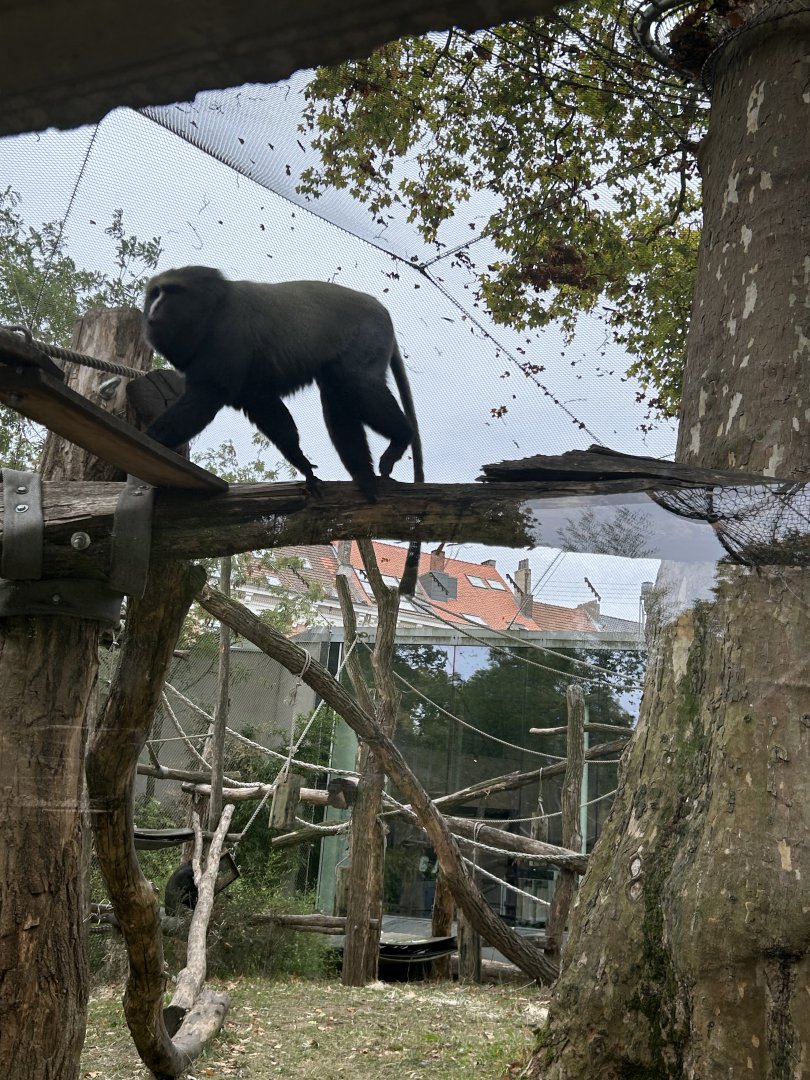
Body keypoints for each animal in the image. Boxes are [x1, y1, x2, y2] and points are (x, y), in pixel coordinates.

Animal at [141, 266, 424, 503]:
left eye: (168, 293)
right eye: (155, 294)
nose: (153, 308)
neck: (213, 309)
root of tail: (380, 308)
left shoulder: (226, 339)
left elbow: (206, 398)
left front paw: (151, 438)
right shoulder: (253, 391)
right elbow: (266, 409)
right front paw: (303, 464)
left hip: (369, 336)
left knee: (356, 383)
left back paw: (402, 436)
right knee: (336, 393)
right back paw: (362, 474)